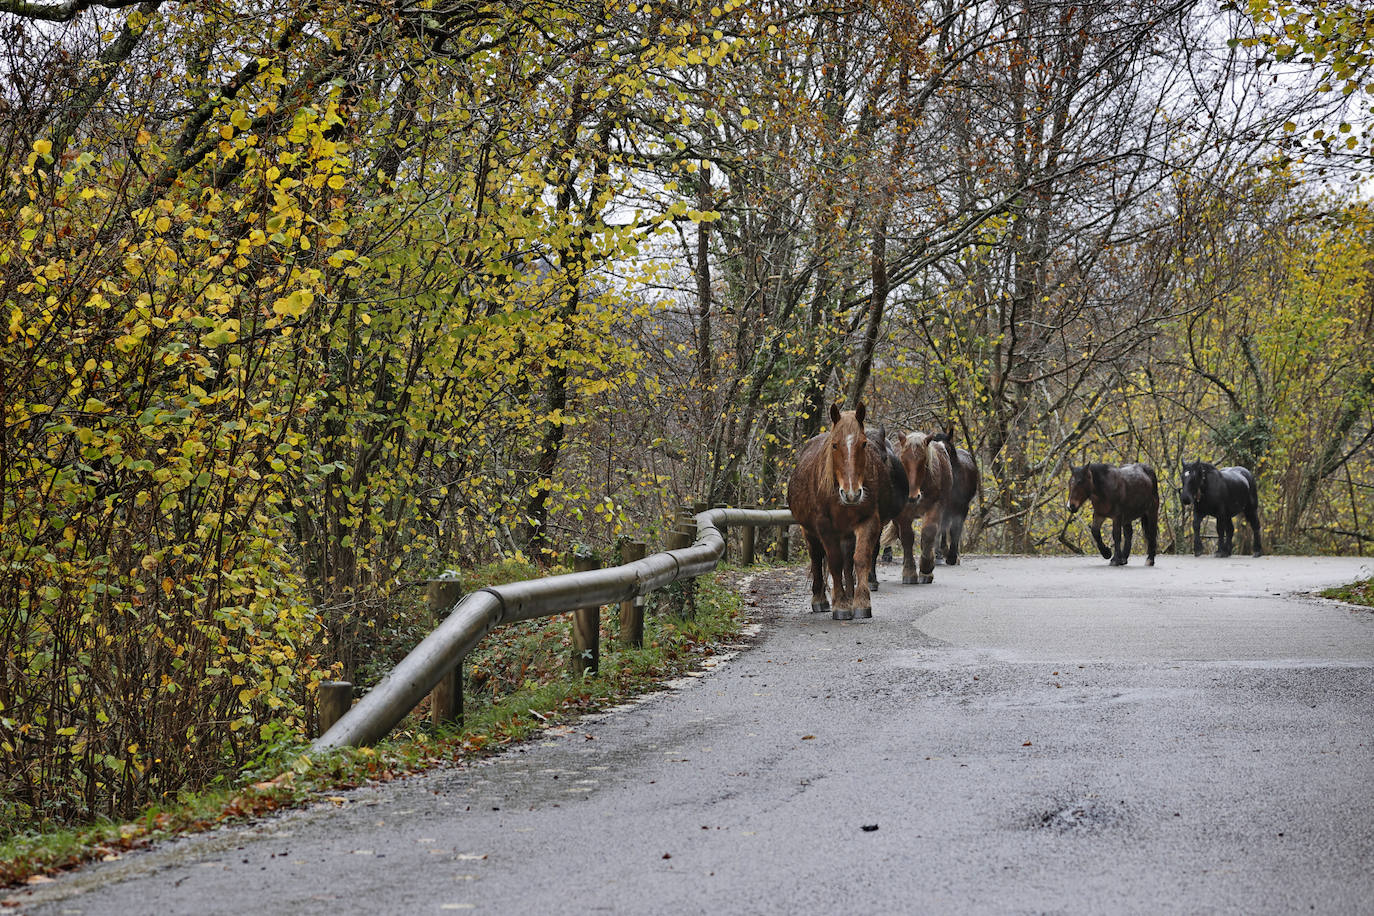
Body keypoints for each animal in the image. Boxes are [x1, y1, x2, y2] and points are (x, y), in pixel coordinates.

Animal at [785, 403, 901, 620]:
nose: (852, 494)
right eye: (834, 445)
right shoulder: (824, 527)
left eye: (863, 444)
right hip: (810, 532)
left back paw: (850, 594)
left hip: (846, 534)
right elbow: (834, 562)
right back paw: (820, 599)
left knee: (848, 561)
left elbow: (860, 559)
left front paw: (861, 602)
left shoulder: (868, 522)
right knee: (817, 558)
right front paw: (840, 604)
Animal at [879, 431, 956, 587]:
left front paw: (926, 568)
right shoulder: (903, 514)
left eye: (923, 460)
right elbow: (907, 537)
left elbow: (928, 532)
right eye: (902, 459)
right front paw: (909, 572)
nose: (912, 496)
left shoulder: (936, 506)